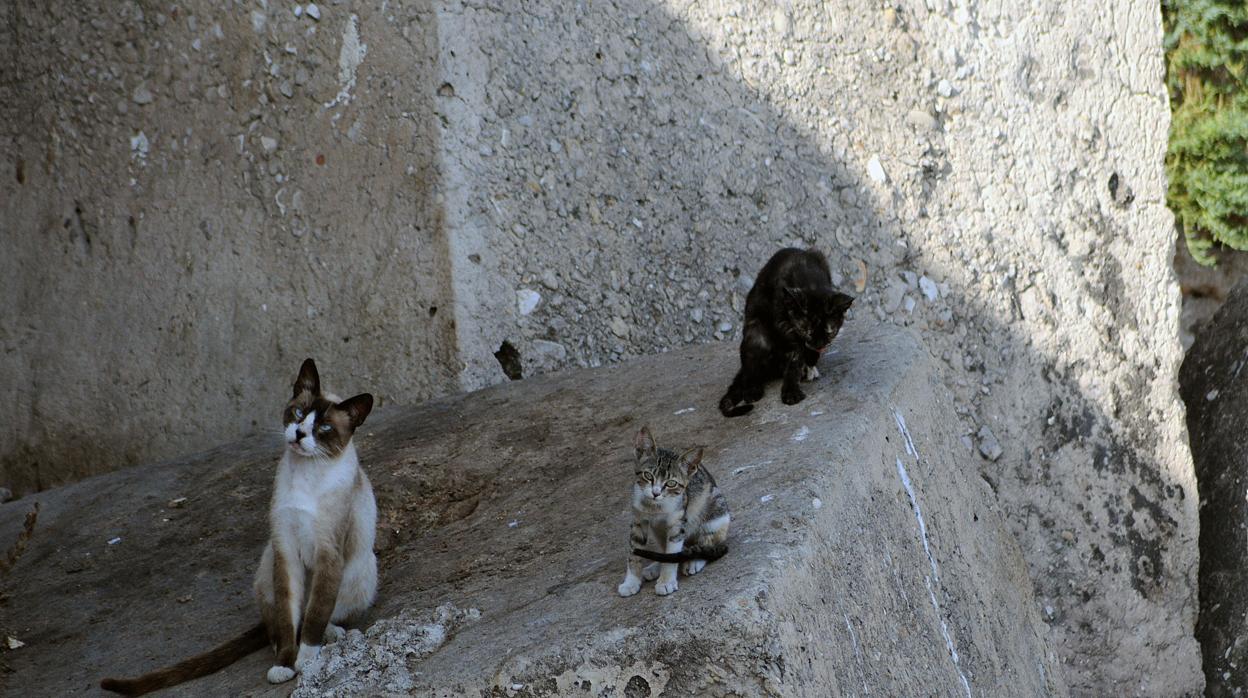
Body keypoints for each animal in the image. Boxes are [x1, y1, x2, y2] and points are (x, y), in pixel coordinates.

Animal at [100, 357, 374, 694]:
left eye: (323, 428)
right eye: (298, 414)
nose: (298, 433)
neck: (306, 475)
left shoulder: (328, 553)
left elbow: (314, 616)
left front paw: (307, 660)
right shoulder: (284, 548)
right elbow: (288, 619)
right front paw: (285, 665)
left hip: (362, 569)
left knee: (328, 614)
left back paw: (332, 635)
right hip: (267, 563)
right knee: (275, 625)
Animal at [616, 429, 728, 599]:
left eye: (671, 483)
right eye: (648, 476)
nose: (655, 493)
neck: (654, 507)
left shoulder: (677, 523)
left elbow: (672, 553)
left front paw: (666, 582)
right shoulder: (638, 520)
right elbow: (635, 553)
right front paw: (631, 582)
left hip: (715, 512)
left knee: (707, 543)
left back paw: (695, 560)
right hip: (657, 530)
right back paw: (654, 567)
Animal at [718, 248, 853, 417]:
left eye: (830, 332)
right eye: (806, 331)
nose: (818, 345)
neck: (809, 279)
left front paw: (809, 362)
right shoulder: (781, 321)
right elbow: (796, 354)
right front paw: (791, 392)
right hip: (756, 333)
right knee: (750, 369)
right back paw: (752, 390)